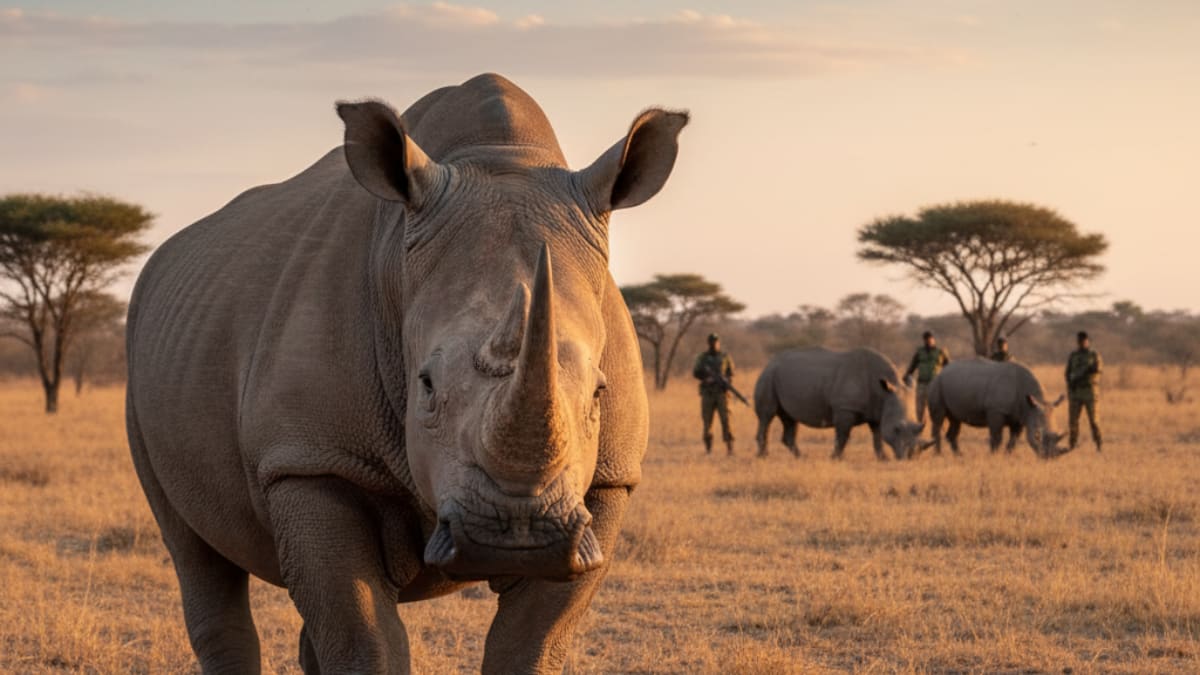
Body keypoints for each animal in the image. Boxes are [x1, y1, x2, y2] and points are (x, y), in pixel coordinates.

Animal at [125, 74, 687, 674]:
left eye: (599, 393)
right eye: (427, 386)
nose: (518, 531)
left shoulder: (608, 480)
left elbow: (533, 641)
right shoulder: (310, 458)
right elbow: (364, 638)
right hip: (145, 365)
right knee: (194, 553)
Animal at [753, 347, 924, 460]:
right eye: (896, 429)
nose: (911, 456)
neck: (883, 393)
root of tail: (769, 362)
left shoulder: (878, 411)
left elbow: (877, 436)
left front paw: (883, 458)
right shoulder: (845, 409)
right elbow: (843, 435)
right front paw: (835, 458)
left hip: (781, 377)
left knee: (789, 419)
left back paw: (801, 457)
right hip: (768, 377)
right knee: (766, 416)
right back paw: (763, 457)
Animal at [925, 359, 1069, 458]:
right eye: (1037, 435)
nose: (1050, 457)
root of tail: (940, 372)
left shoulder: (1021, 415)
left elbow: (1014, 439)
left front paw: (1008, 456)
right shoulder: (996, 410)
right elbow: (996, 437)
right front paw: (993, 455)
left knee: (955, 420)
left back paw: (959, 455)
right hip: (936, 385)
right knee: (938, 420)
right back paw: (938, 455)